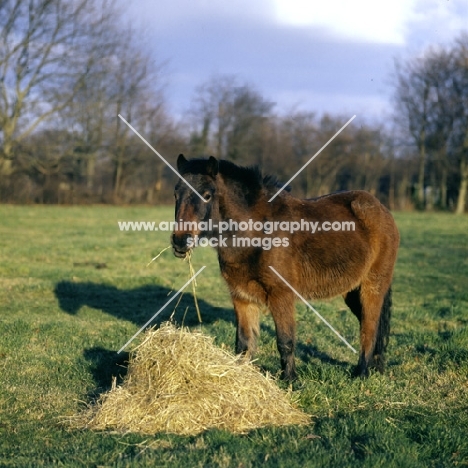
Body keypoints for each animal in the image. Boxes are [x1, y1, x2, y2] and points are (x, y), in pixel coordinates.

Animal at [172, 154, 398, 380]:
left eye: (207, 195)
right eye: (176, 194)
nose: (180, 241)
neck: (257, 233)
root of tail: (381, 210)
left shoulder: (281, 295)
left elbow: (285, 341)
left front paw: (290, 379)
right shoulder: (241, 297)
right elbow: (243, 343)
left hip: (372, 287)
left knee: (369, 329)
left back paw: (361, 372)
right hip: (351, 291)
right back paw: (376, 367)